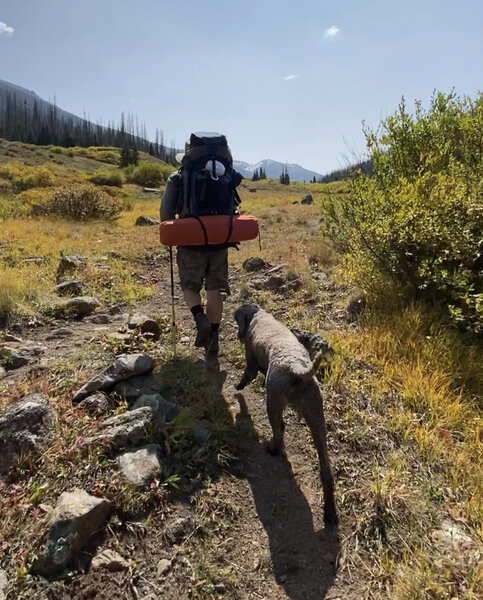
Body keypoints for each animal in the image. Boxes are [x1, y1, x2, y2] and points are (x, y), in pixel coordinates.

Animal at [234, 304, 336, 524]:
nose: (238, 335)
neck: (258, 316)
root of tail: (297, 370)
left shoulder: (251, 360)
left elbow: (247, 375)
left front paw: (238, 387)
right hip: (316, 415)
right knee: (326, 469)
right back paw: (330, 513)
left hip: (273, 402)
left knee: (279, 431)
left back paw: (273, 449)